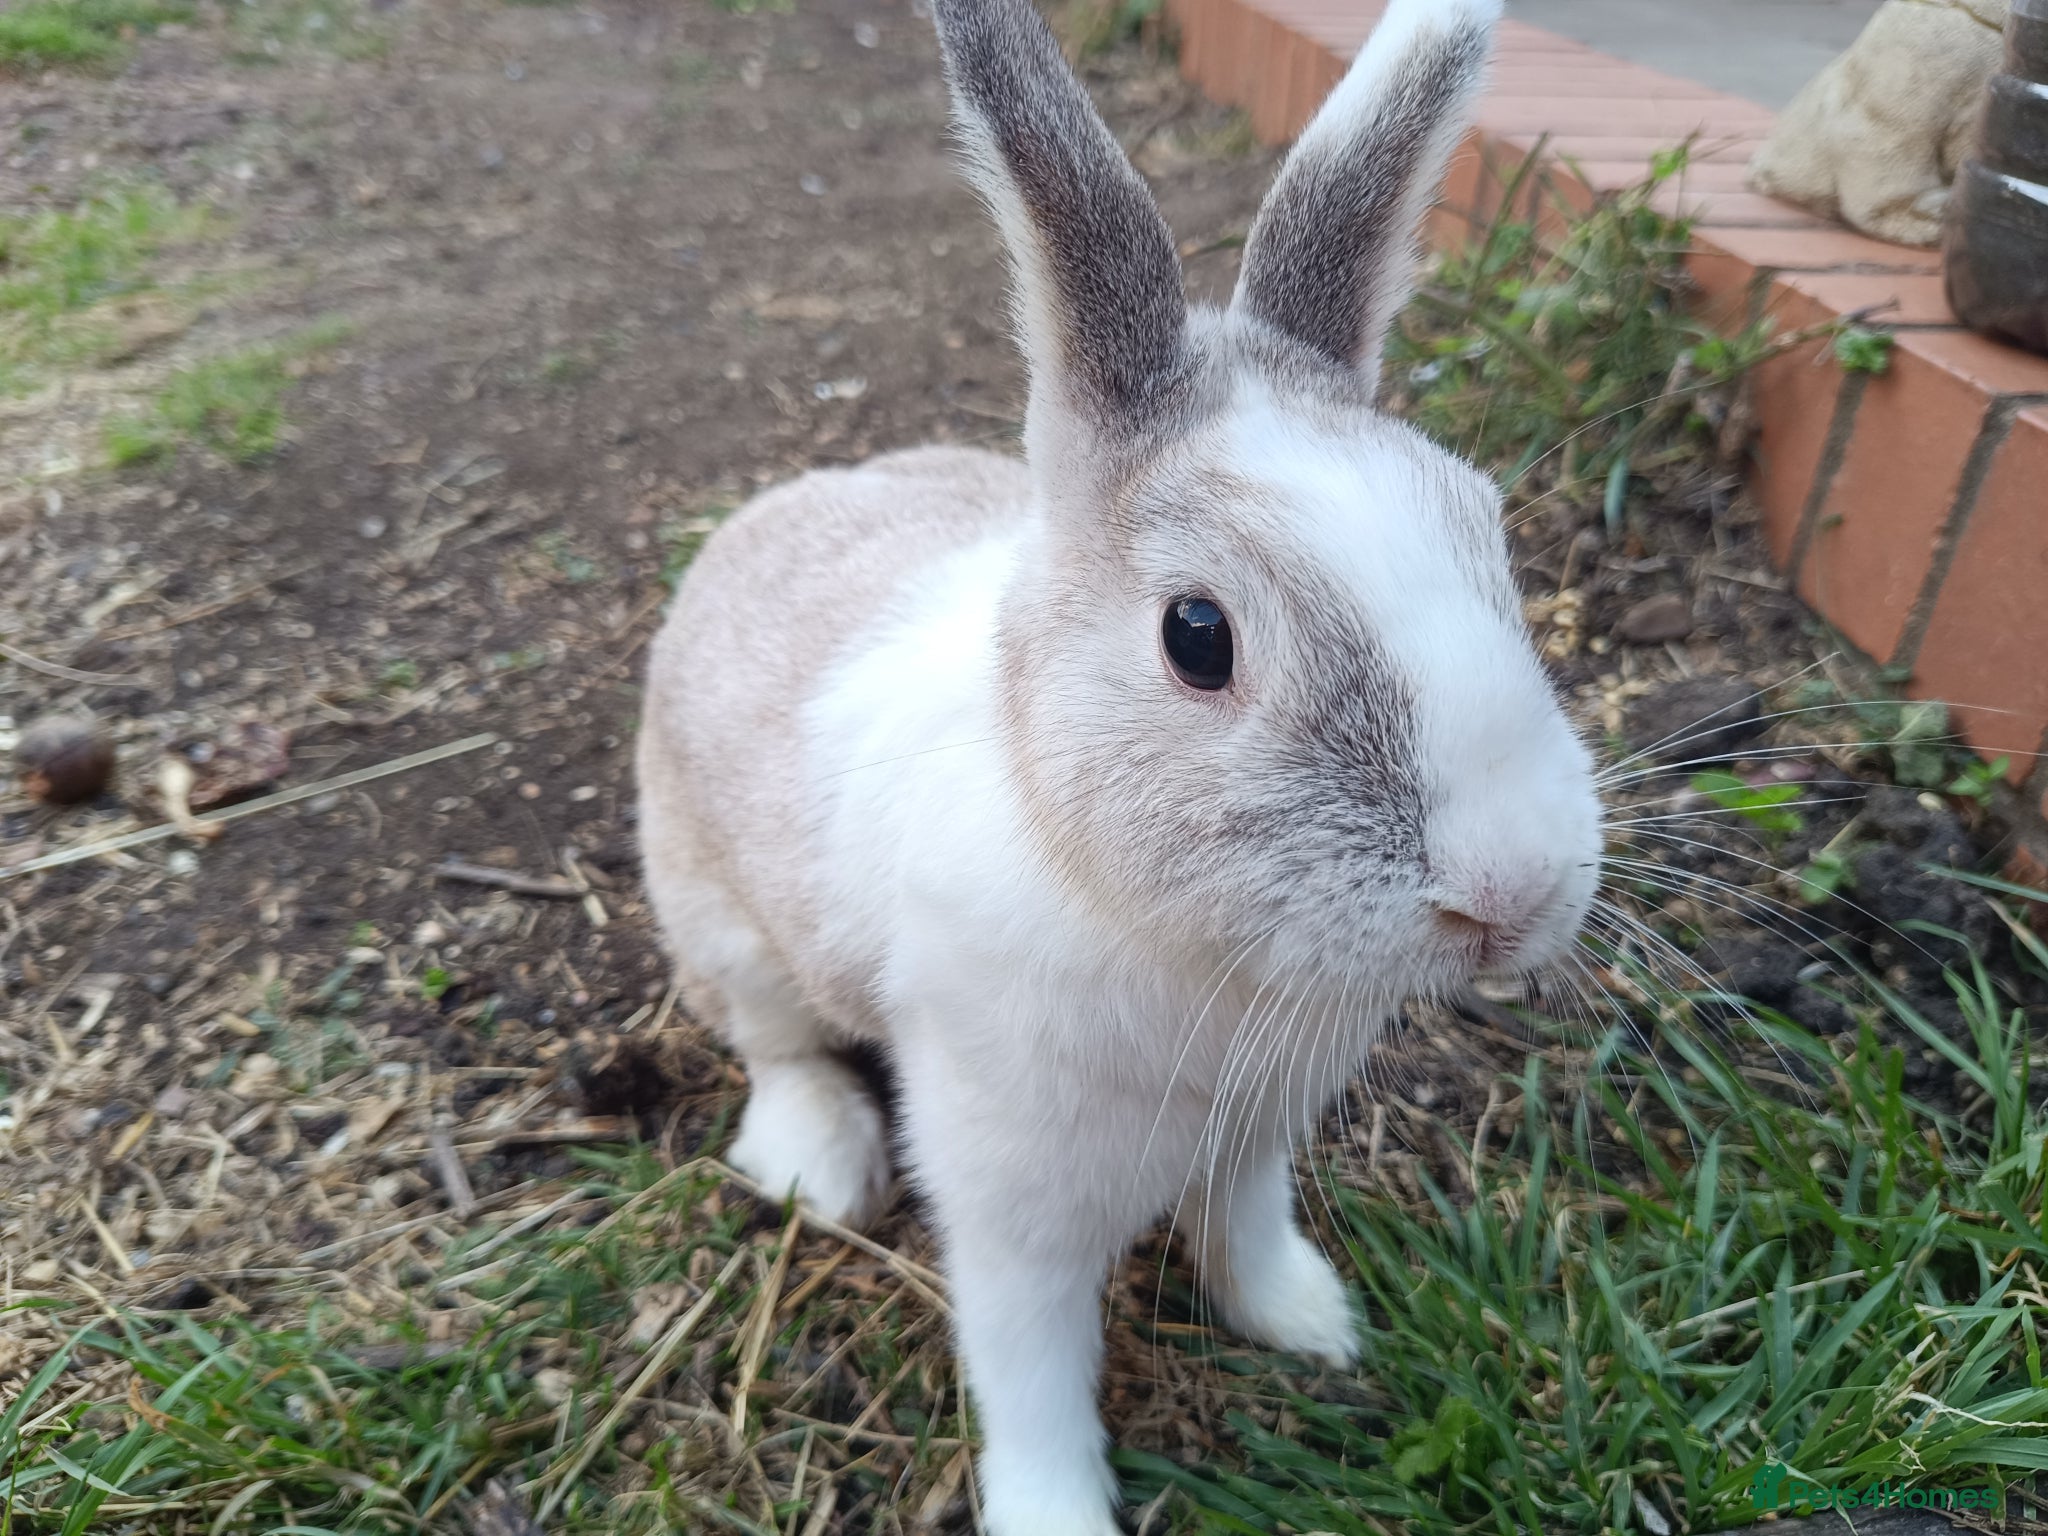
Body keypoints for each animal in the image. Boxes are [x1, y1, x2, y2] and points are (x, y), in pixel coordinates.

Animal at [636, 0, 1603, 1527]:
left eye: (1490, 534)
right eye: (1197, 637)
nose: (1509, 894)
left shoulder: (1259, 1134)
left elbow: (1246, 1232)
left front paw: (1309, 1324)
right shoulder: (1008, 1204)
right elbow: (1032, 1374)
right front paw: (1056, 1511)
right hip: (721, 921)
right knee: (776, 1039)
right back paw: (817, 1166)